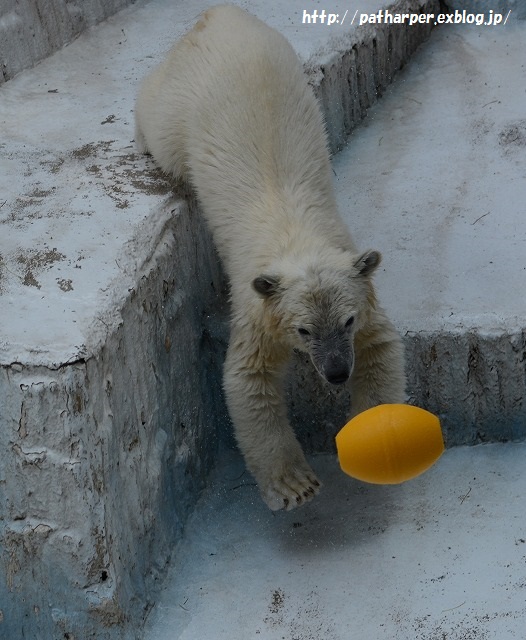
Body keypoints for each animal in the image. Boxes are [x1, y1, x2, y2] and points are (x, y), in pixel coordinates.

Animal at [136, 3, 408, 510]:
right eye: (303, 330)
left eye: (347, 322)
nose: (336, 373)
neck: (296, 236)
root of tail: (218, 16)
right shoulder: (256, 303)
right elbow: (249, 381)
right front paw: (296, 486)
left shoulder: (355, 280)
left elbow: (380, 350)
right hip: (180, 104)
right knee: (156, 118)